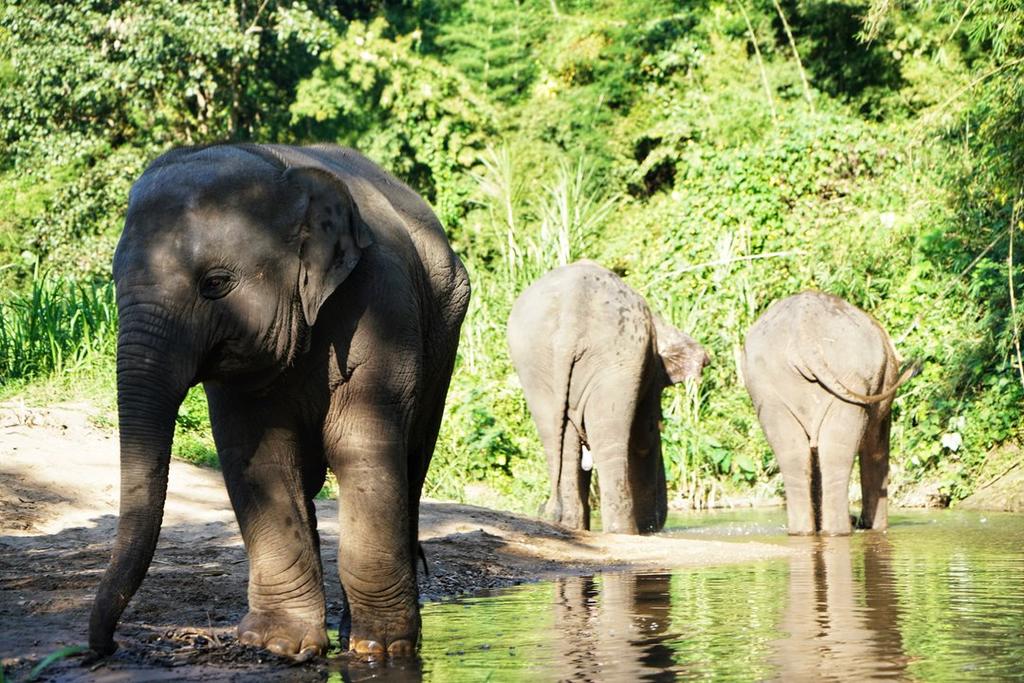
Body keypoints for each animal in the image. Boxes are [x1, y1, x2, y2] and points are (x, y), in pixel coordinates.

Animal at [88, 143, 470, 659]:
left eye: (215, 283)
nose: (107, 646)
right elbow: (259, 457)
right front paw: (279, 645)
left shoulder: (382, 303)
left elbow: (360, 443)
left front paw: (379, 650)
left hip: (445, 331)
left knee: (411, 463)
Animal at [507, 261, 709, 534]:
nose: (656, 524)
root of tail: (571, 312)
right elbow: (644, 437)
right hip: (616, 357)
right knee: (611, 440)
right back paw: (623, 533)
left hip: (536, 361)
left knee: (559, 443)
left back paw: (571, 524)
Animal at [742, 291, 917, 536]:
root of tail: (804, 337)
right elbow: (876, 447)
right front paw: (874, 527)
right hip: (852, 378)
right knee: (836, 454)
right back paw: (840, 531)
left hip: (767, 388)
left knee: (794, 455)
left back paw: (804, 532)